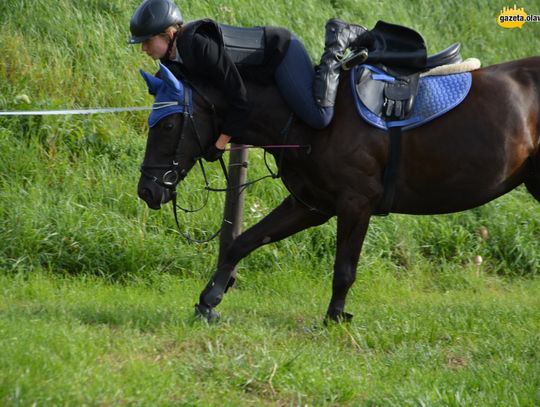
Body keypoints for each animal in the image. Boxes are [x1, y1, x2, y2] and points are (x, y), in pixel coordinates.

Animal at [137, 57, 540, 324]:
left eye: (169, 124)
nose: (147, 190)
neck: (313, 119)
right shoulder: (311, 205)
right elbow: (243, 242)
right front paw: (209, 300)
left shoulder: (355, 203)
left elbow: (344, 268)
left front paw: (334, 318)